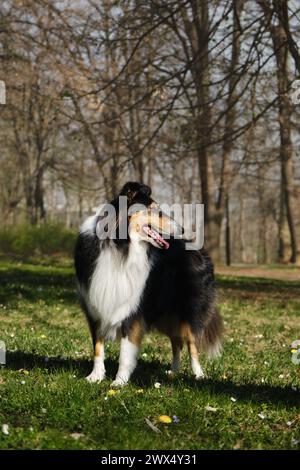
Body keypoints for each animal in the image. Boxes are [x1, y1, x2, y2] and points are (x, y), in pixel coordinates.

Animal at [74, 181, 223, 386]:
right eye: (154, 209)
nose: (183, 230)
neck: (119, 246)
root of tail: (198, 250)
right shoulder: (95, 306)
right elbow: (97, 345)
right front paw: (95, 376)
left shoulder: (132, 309)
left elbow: (125, 351)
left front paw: (119, 382)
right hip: (167, 315)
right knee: (176, 342)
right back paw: (173, 372)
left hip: (188, 311)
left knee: (191, 343)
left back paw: (199, 375)